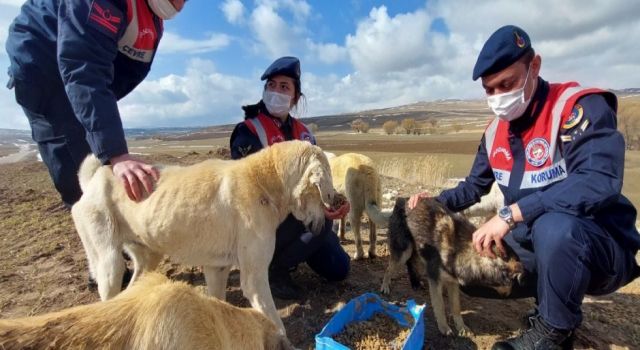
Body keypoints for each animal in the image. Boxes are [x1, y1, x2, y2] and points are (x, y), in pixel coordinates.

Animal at [70, 140, 338, 340]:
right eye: (326, 194)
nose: (321, 227)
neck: (265, 179)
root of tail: (94, 179)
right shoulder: (254, 278)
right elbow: (273, 320)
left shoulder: (217, 268)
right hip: (110, 262)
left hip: (149, 257)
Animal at [382, 197, 524, 336]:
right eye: (510, 281)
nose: (507, 294)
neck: (462, 249)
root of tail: (401, 199)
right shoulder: (435, 280)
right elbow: (440, 305)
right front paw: (444, 327)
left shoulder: (453, 281)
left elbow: (456, 307)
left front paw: (461, 327)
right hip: (404, 251)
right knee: (389, 268)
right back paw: (385, 287)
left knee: (411, 263)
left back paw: (415, 283)